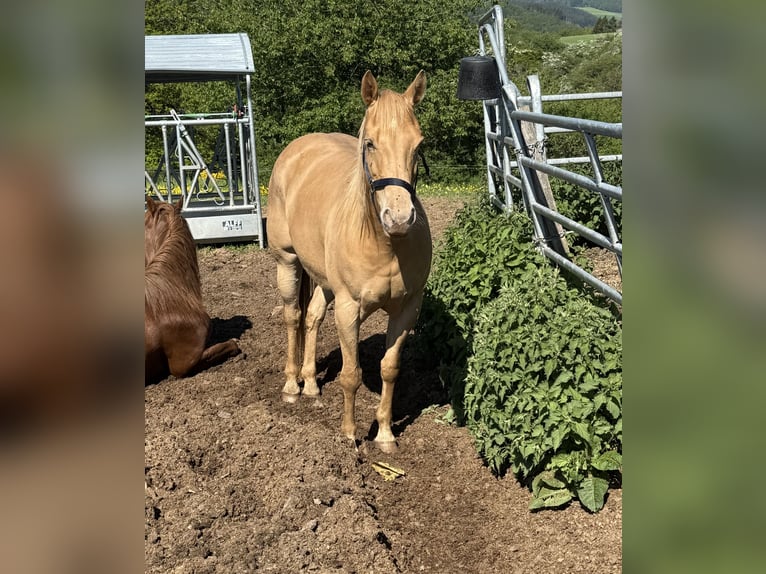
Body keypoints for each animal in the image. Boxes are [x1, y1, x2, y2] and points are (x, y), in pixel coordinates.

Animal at [267, 70, 432, 452]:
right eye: (370, 143)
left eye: (418, 145)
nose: (399, 219)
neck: (384, 244)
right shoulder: (348, 309)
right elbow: (351, 373)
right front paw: (349, 435)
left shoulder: (407, 309)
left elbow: (389, 369)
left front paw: (385, 435)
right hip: (287, 262)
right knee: (293, 317)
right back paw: (291, 386)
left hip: (324, 280)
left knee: (311, 317)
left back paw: (311, 384)